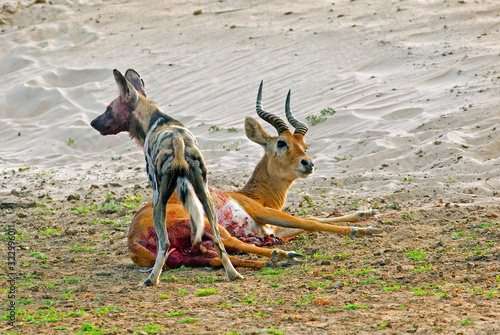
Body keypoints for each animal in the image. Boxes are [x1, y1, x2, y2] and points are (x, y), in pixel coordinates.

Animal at [127, 80, 380, 272]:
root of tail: (134, 239)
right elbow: (309, 222)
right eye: (281, 143)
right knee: (230, 242)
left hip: (189, 254)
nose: (308, 163)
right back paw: (284, 255)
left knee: (217, 257)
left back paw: (275, 260)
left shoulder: (270, 228)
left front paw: (367, 213)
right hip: (210, 226)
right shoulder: (263, 212)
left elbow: (314, 220)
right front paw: (364, 229)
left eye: (304, 145)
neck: (252, 195)